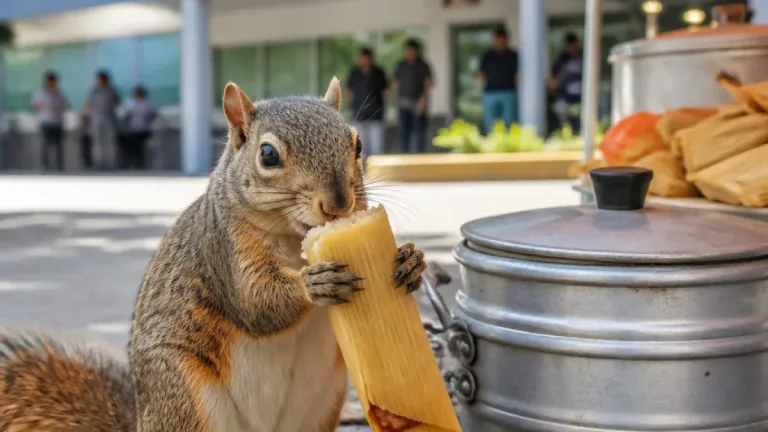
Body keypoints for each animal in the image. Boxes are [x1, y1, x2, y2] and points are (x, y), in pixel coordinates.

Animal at [0, 77, 427, 432]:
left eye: (357, 144)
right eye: (268, 155)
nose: (339, 203)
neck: (294, 240)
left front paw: (412, 260)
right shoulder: (223, 248)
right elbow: (256, 302)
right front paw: (313, 283)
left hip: (323, 403)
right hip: (184, 394)